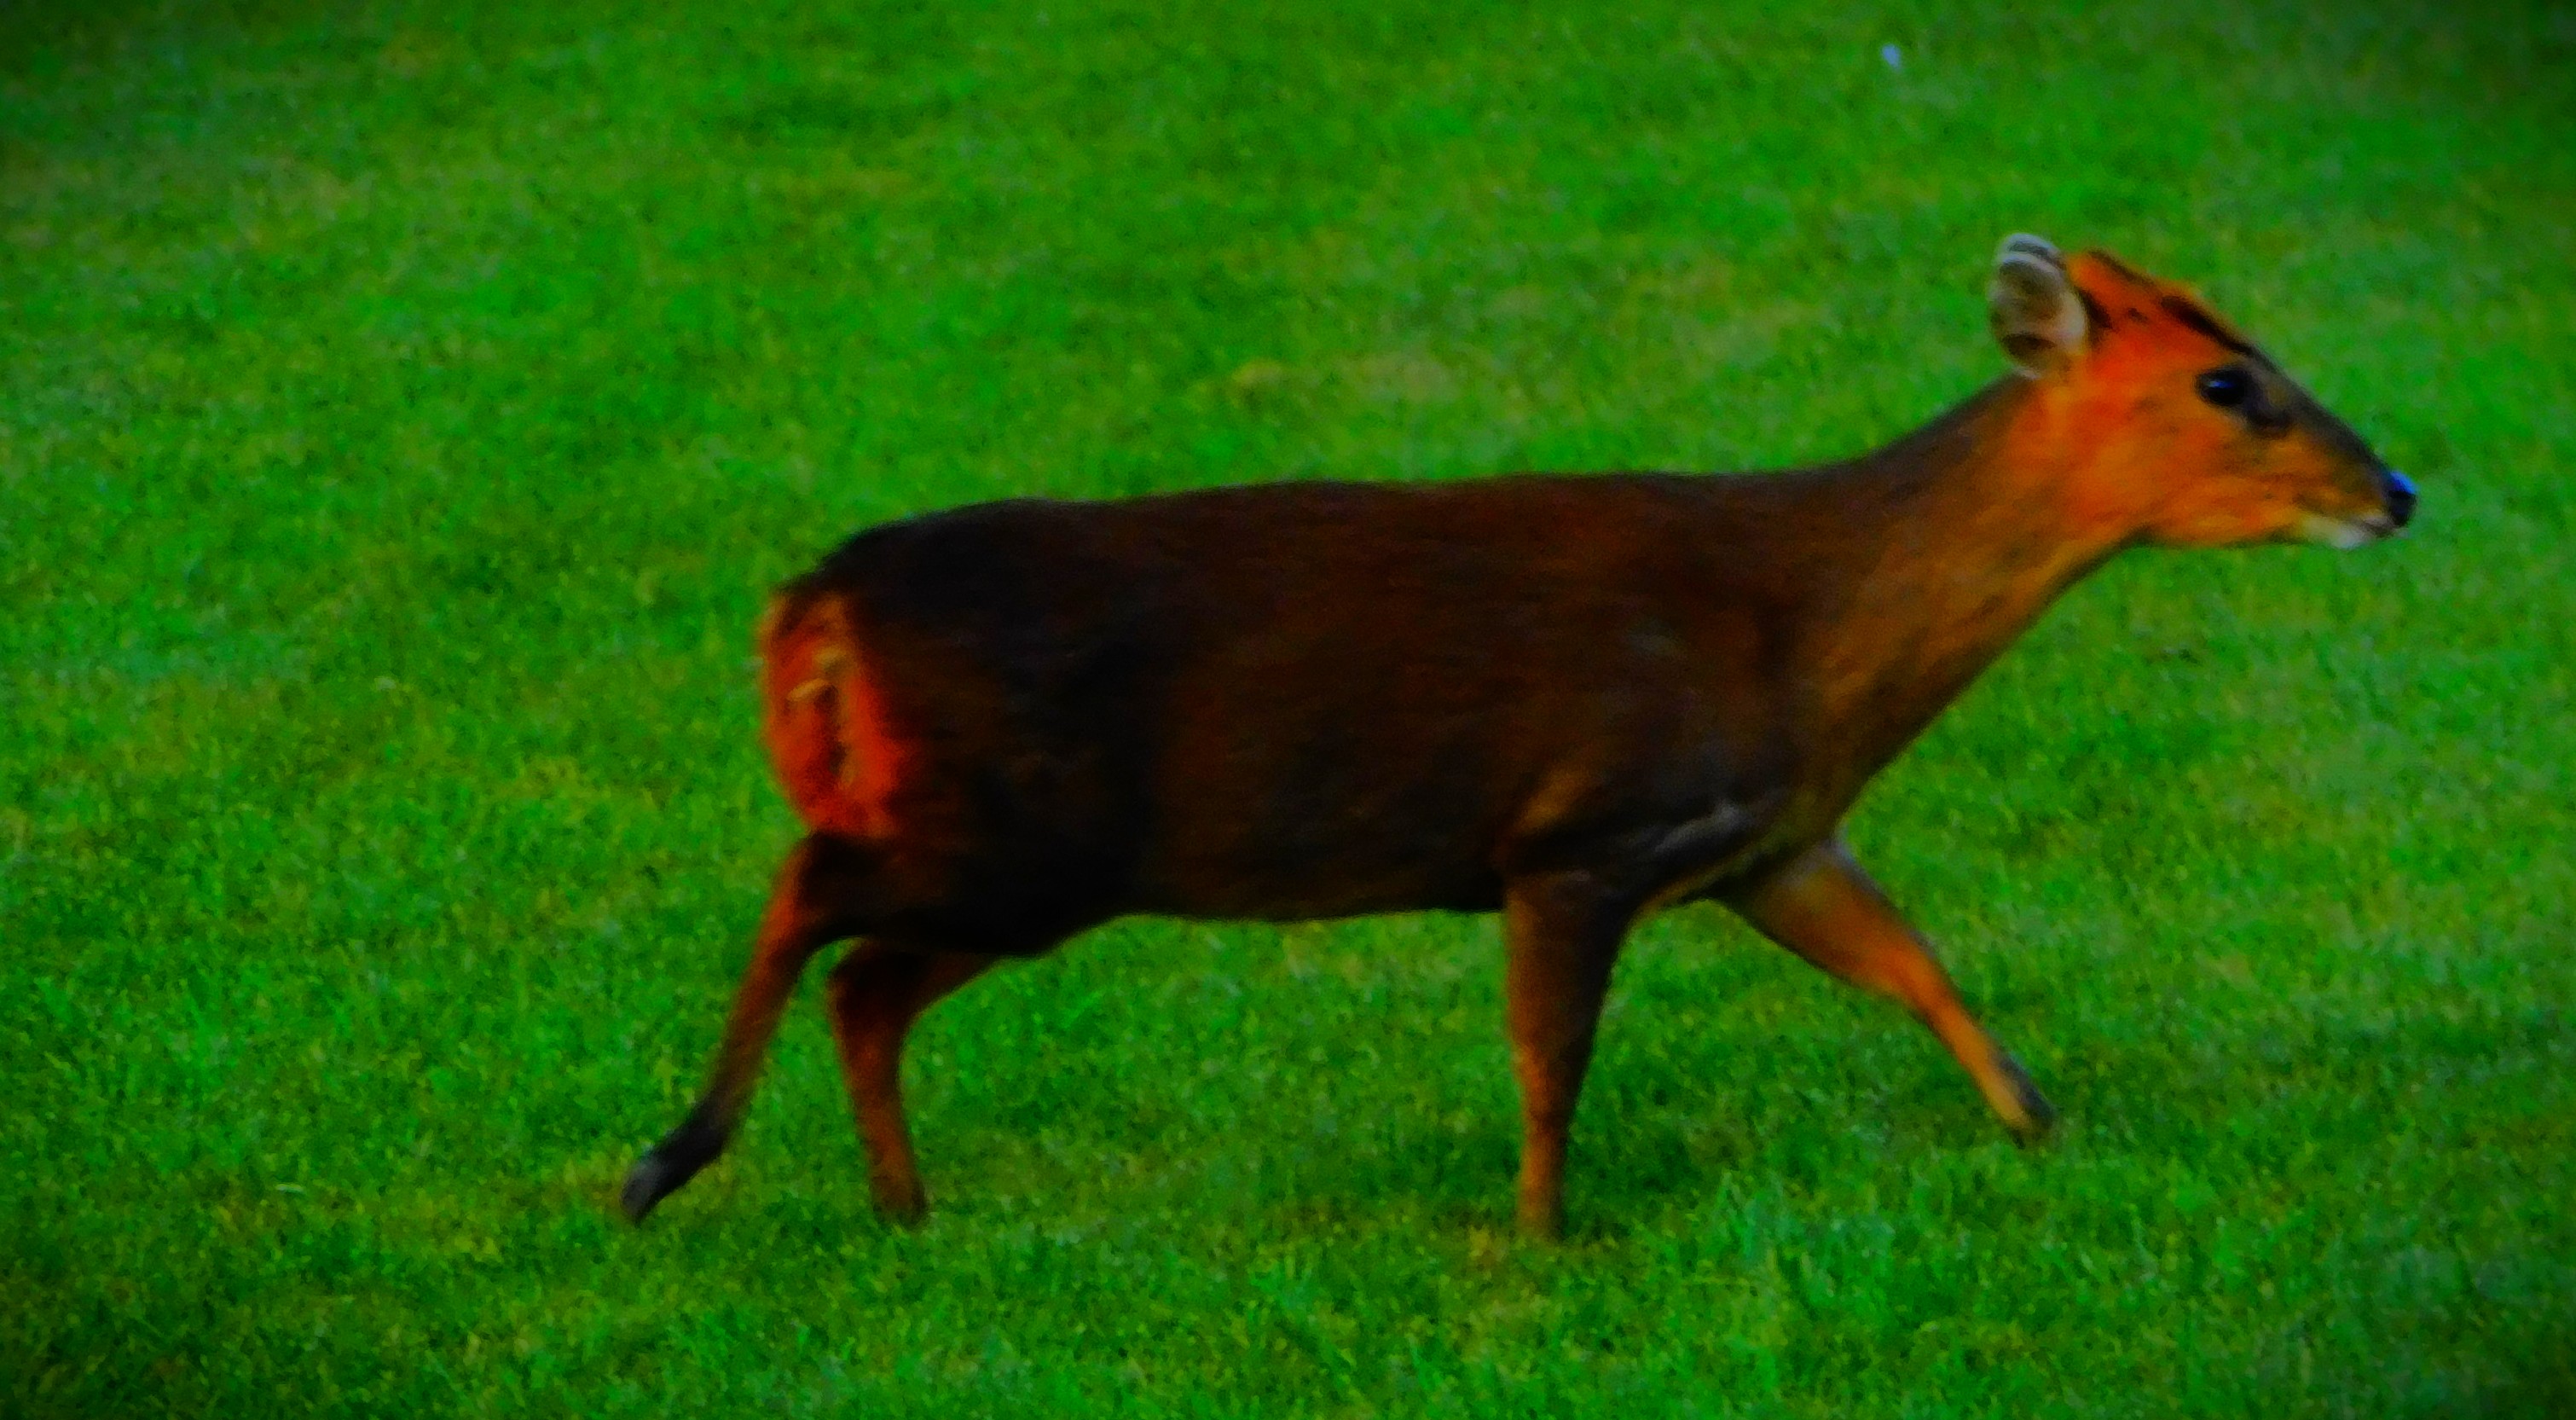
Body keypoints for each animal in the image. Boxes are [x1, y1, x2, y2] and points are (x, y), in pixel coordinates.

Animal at [619, 235, 2415, 1238]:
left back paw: (899, 1206)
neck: (1813, 626)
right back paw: (666, 1163)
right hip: (1009, 834)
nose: (2395, 491)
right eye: (2232, 386)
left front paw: (2038, 1127)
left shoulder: (1765, 840)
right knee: (811, 891)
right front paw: (1544, 1234)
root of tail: (824, 595)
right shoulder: (1581, 833)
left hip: (1026, 863)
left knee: (865, 975)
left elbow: (1915, 965)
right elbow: (1552, 1056)